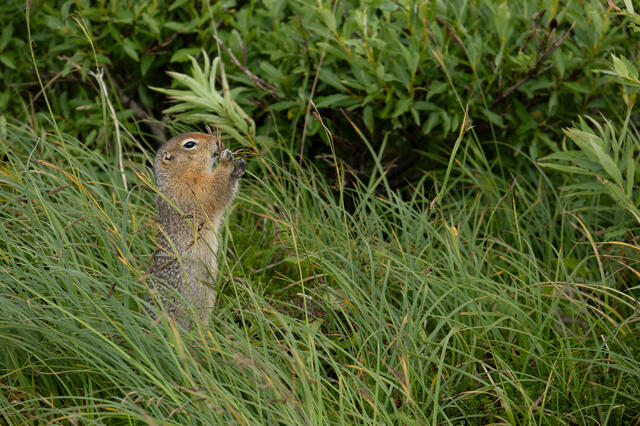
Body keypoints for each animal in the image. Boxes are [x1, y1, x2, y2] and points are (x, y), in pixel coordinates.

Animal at [146, 131, 245, 328]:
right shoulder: (190, 188)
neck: (177, 174)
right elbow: (212, 190)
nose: (216, 141)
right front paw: (226, 160)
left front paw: (239, 167)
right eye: (190, 144)